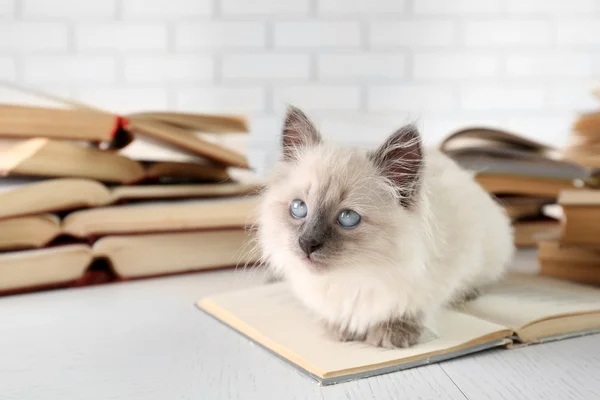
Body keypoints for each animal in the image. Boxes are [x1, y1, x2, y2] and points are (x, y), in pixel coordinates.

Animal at [255, 105, 512, 346]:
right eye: (299, 208)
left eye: (347, 217)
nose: (306, 244)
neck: (357, 274)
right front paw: (340, 328)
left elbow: (412, 306)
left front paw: (393, 333)